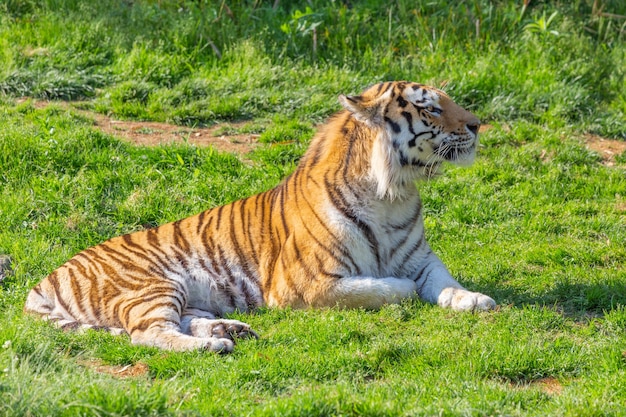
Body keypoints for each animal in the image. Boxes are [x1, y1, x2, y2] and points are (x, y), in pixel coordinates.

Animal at [23, 80, 492, 352]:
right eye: (430, 108)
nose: (477, 125)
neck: (392, 193)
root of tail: (44, 279)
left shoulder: (422, 259)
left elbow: (444, 282)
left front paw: (476, 300)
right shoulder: (308, 284)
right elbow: (384, 289)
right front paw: (403, 291)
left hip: (185, 295)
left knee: (184, 321)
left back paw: (231, 331)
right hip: (150, 286)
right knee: (146, 333)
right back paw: (213, 346)